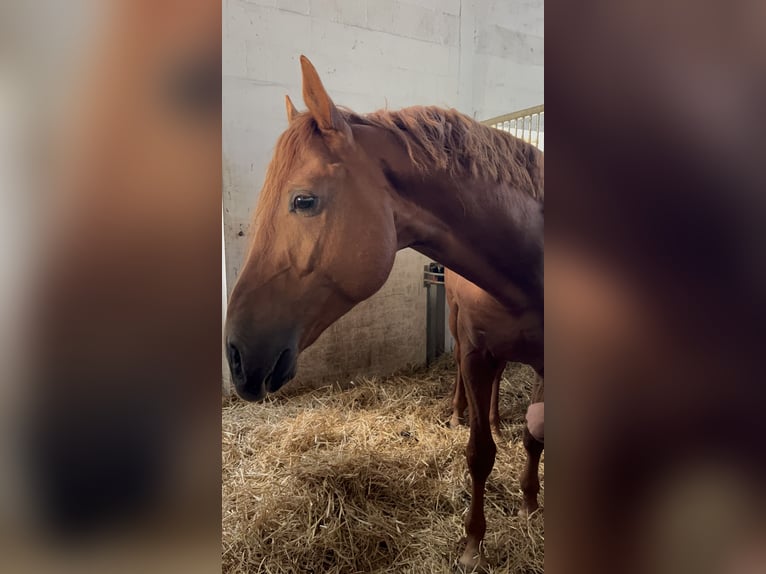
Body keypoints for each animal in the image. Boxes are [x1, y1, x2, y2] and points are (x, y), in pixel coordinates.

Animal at [445, 268, 545, 518]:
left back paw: (495, 425)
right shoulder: (474, 346)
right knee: (457, 357)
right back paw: (456, 414)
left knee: (497, 374)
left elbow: (534, 437)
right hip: (454, 314)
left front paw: (529, 502)